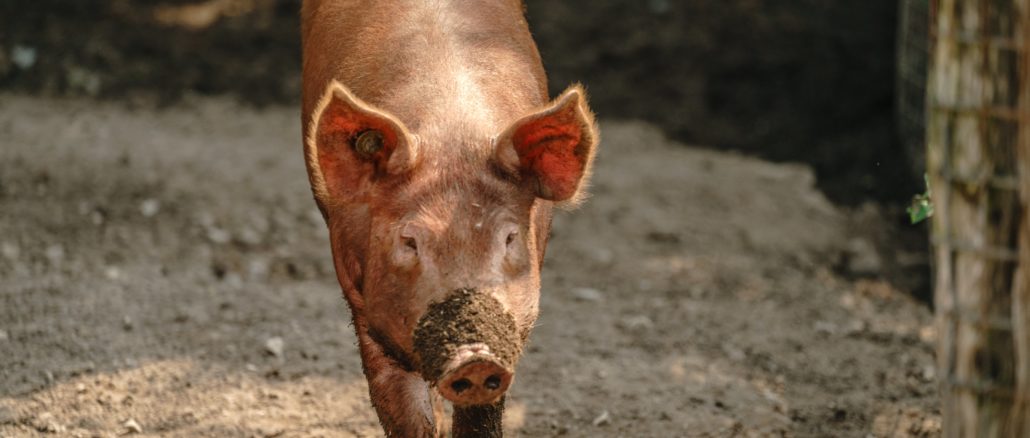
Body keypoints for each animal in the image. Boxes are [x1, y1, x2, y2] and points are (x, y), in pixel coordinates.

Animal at [300, 1, 597, 434]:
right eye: (409, 241)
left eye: (509, 238)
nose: (474, 358)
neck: (451, 138)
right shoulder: (360, 296)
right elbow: (400, 405)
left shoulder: (513, 328)